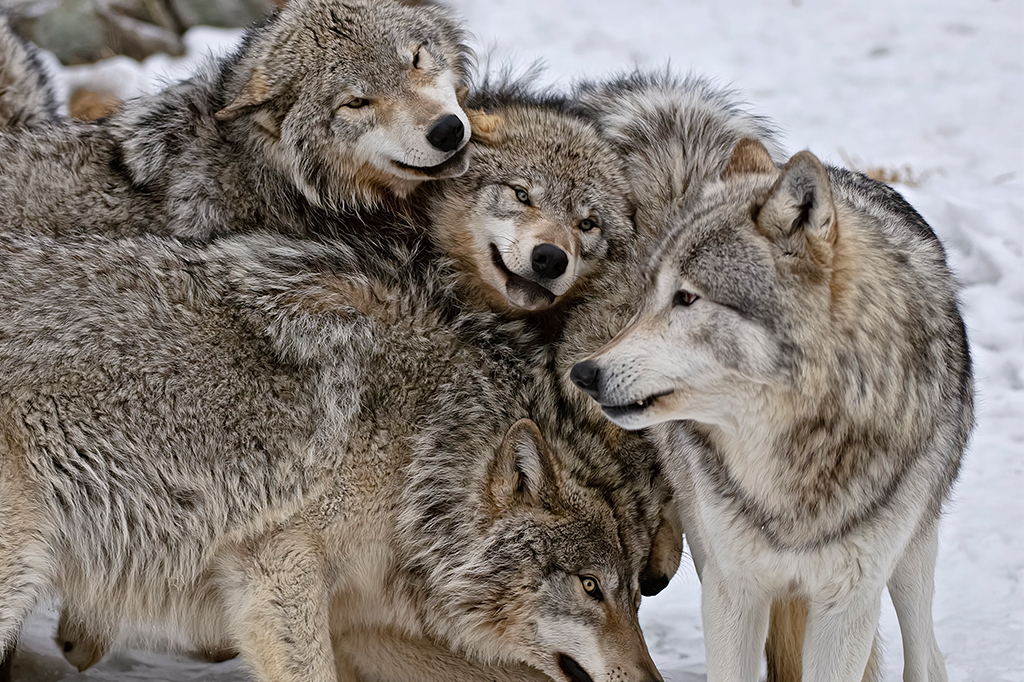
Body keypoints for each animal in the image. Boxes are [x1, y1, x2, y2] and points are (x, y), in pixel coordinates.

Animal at [0, 227, 672, 682]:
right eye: (590, 587)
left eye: (634, 597)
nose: (648, 680)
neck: (419, 456)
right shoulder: (278, 571)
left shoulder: (358, 621)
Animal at [570, 138, 973, 682]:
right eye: (649, 295)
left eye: (687, 298)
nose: (584, 374)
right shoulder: (733, 592)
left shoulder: (847, 604)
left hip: (911, 555)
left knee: (926, 654)